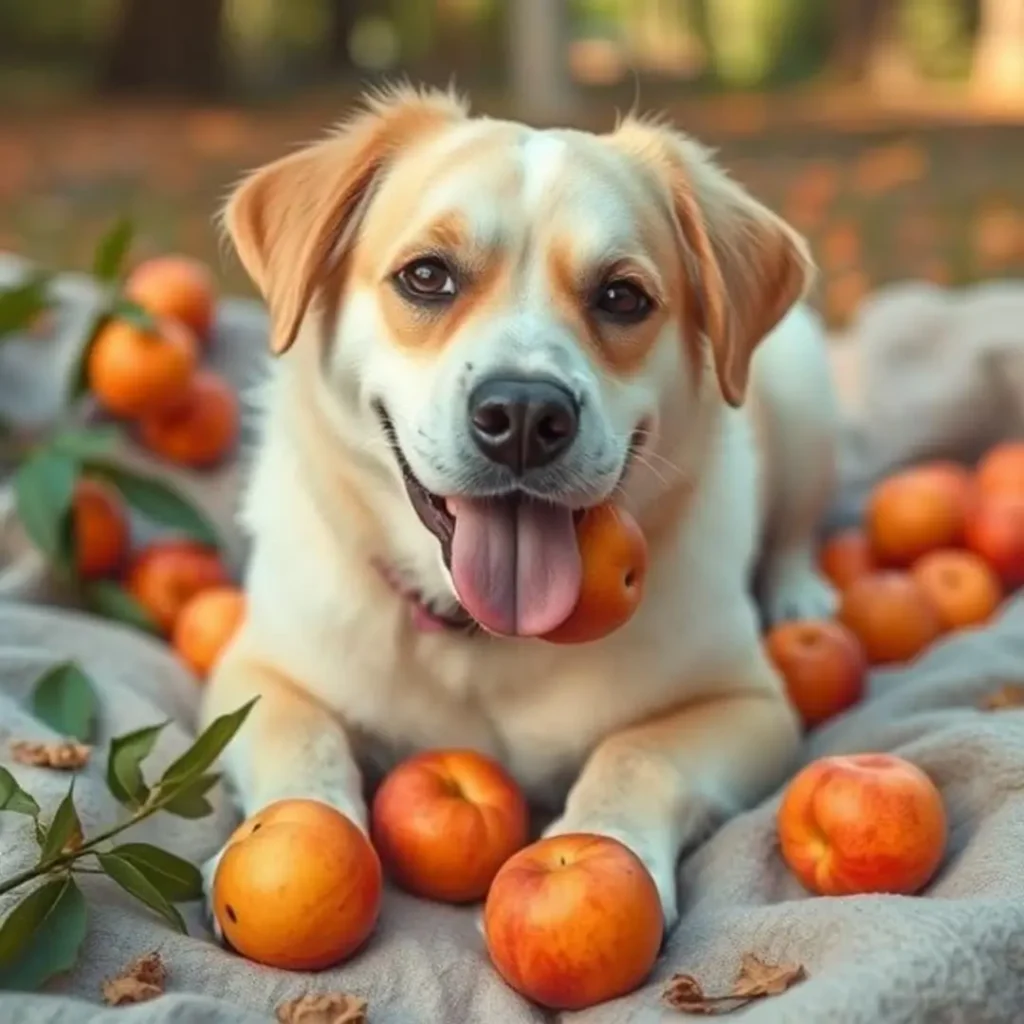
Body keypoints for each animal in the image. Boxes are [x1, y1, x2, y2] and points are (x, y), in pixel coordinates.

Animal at [199, 86, 839, 929]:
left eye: (622, 296)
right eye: (427, 276)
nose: (527, 416)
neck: (487, 640)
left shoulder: (749, 703)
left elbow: (636, 751)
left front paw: (607, 845)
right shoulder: (257, 671)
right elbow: (303, 736)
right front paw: (286, 834)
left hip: (801, 384)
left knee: (796, 528)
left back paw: (801, 594)